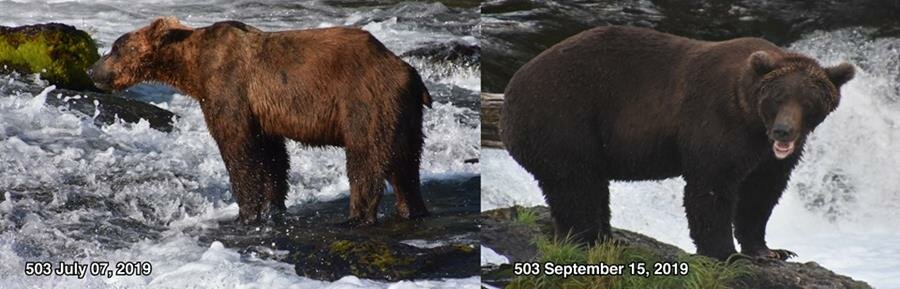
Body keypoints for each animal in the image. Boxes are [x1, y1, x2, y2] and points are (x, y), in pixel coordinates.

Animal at [89, 16, 434, 224]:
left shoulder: (229, 88)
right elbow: (272, 156)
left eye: (116, 47)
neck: (194, 68)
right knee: (407, 161)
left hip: (365, 99)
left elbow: (239, 149)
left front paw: (246, 212)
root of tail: (408, 72)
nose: (93, 70)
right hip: (405, 113)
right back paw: (412, 208)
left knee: (366, 156)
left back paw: (356, 216)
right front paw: (273, 207)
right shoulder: (261, 112)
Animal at [502, 25, 856, 260]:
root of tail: (511, 89)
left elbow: (761, 193)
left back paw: (604, 239)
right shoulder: (716, 122)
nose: (783, 132)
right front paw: (726, 253)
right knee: (576, 185)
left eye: (808, 101)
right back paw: (588, 240)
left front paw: (770, 251)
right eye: (777, 98)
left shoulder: (767, 156)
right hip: (564, 119)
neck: (751, 119)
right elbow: (711, 188)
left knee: (586, 187)